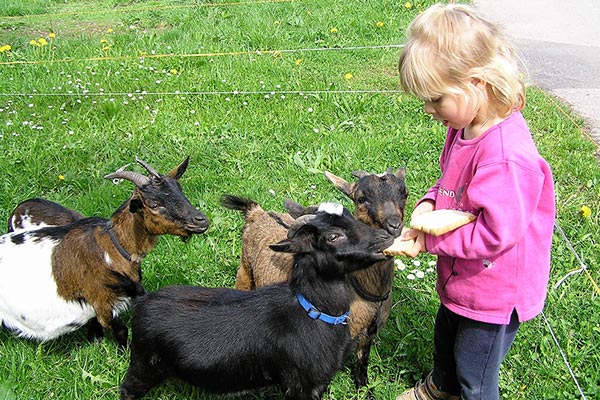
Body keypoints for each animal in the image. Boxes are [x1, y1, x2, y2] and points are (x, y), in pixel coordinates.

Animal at [0, 156, 209, 346]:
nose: (201, 220)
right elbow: (121, 331)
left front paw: (95, 342)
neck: (112, 248)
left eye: (180, 191)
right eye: (154, 205)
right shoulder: (101, 302)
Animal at [120, 203, 396, 400]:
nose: (386, 237)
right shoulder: (301, 385)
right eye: (333, 236)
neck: (313, 309)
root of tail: (143, 301)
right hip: (144, 365)